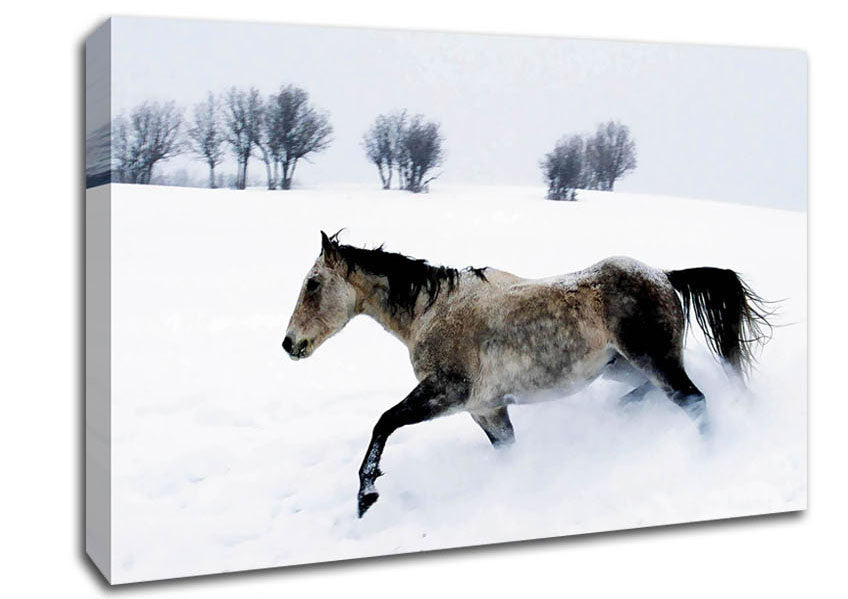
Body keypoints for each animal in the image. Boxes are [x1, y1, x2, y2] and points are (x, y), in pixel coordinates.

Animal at [283, 231, 772, 517]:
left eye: (313, 284)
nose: (290, 344)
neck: (432, 312)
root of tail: (664, 275)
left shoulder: (447, 392)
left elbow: (384, 422)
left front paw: (365, 497)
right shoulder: (486, 409)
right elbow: (508, 450)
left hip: (655, 360)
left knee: (695, 402)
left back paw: (709, 457)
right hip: (623, 368)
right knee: (654, 394)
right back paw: (620, 416)